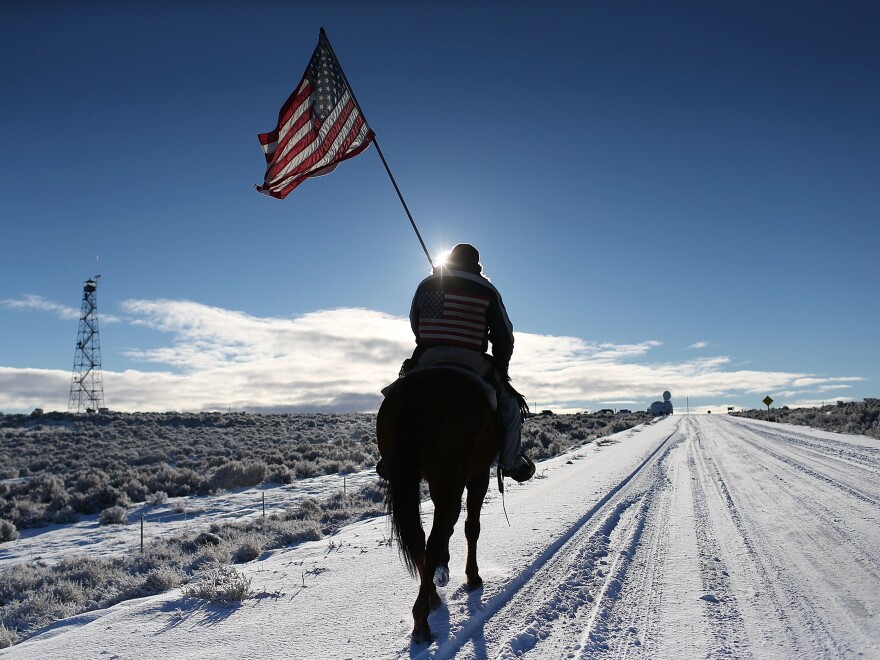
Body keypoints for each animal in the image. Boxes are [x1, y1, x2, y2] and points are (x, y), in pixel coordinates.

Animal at [374, 368, 498, 640]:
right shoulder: (478, 475)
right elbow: (471, 526)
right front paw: (472, 577)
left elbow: (449, 526)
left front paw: (444, 567)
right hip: (453, 477)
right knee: (433, 539)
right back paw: (422, 621)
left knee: (421, 538)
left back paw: (430, 598)